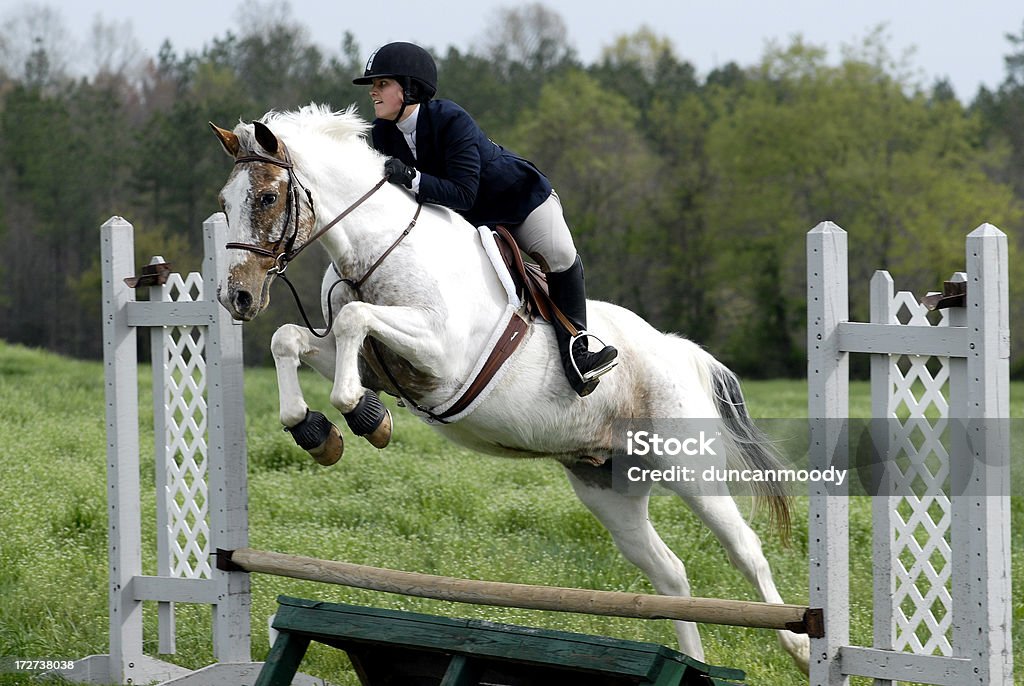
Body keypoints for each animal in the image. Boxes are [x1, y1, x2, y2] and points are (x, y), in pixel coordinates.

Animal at [211, 104, 811, 675]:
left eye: (267, 197)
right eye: (225, 202)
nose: (236, 297)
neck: (378, 248)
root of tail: (680, 351)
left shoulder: (441, 355)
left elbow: (355, 327)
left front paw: (363, 417)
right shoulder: (365, 357)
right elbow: (290, 340)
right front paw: (318, 432)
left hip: (687, 467)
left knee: (746, 550)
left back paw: (801, 647)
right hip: (608, 487)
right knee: (670, 576)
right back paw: (693, 662)